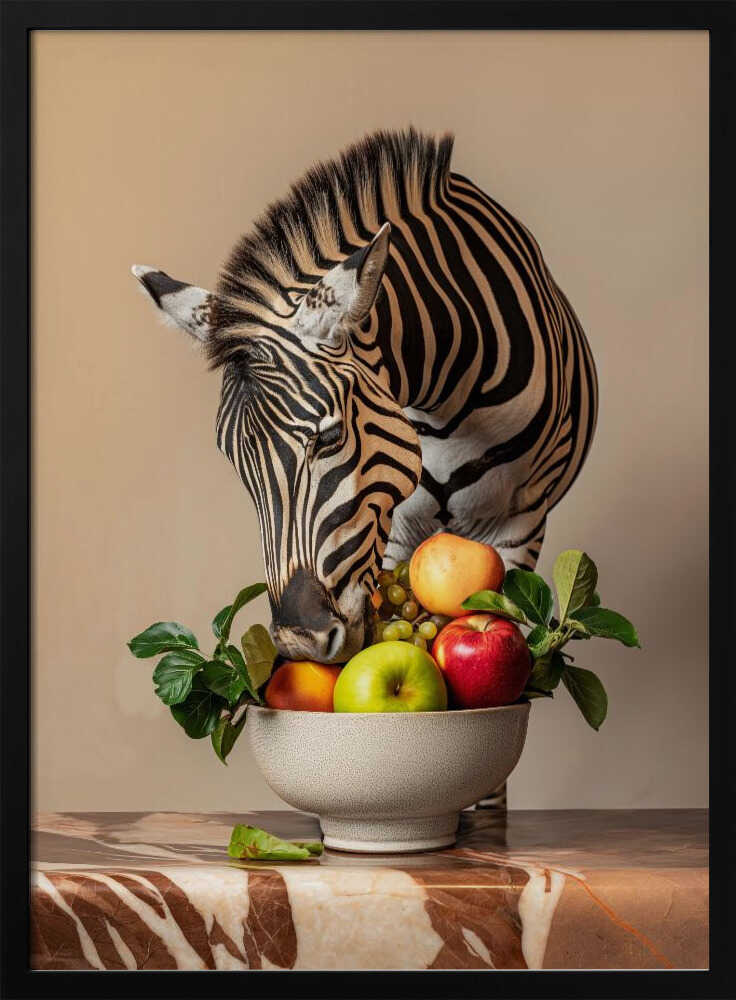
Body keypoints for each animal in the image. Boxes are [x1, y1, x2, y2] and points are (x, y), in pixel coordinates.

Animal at [132, 128, 598, 676]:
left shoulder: (519, 526)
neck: (442, 400)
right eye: (235, 462)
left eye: (330, 436)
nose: (300, 643)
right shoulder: (396, 531)